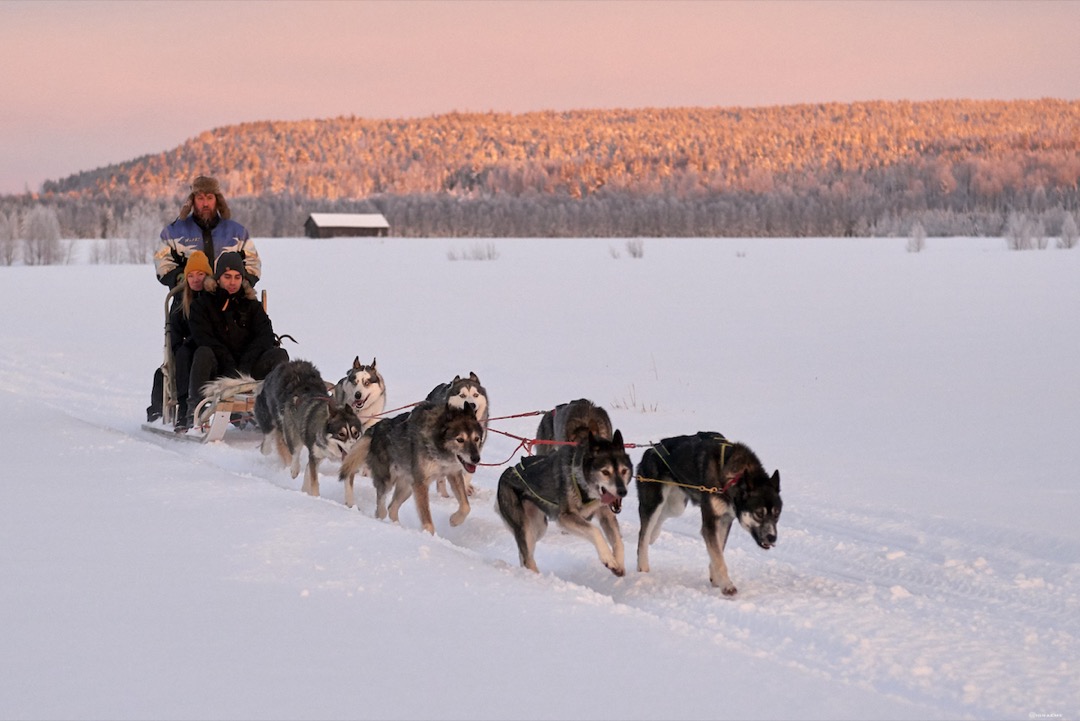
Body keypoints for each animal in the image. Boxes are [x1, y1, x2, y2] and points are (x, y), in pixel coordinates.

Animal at [254, 358, 365, 496]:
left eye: (356, 433)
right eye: (341, 434)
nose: (354, 448)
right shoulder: (312, 454)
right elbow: (313, 480)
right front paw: (315, 498)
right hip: (279, 425)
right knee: (281, 444)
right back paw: (288, 464)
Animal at [494, 431, 630, 578]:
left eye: (624, 471)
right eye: (605, 472)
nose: (622, 491)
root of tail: (507, 472)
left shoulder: (606, 515)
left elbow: (618, 541)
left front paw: (619, 563)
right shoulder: (566, 517)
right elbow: (595, 530)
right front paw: (608, 558)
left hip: (538, 527)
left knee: (524, 554)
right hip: (525, 526)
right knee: (527, 558)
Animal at [635, 431, 781, 595]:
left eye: (777, 514)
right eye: (759, 514)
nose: (772, 537)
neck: (730, 477)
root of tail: (651, 450)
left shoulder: (725, 519)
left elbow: (718, 551)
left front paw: (716, 578)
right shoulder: (710, 522)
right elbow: (718, 557)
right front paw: (727, 585)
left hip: (676, 505)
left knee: (660, 519)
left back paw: (654, 535)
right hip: (654, 502)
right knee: (643, 534)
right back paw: (643, 567)